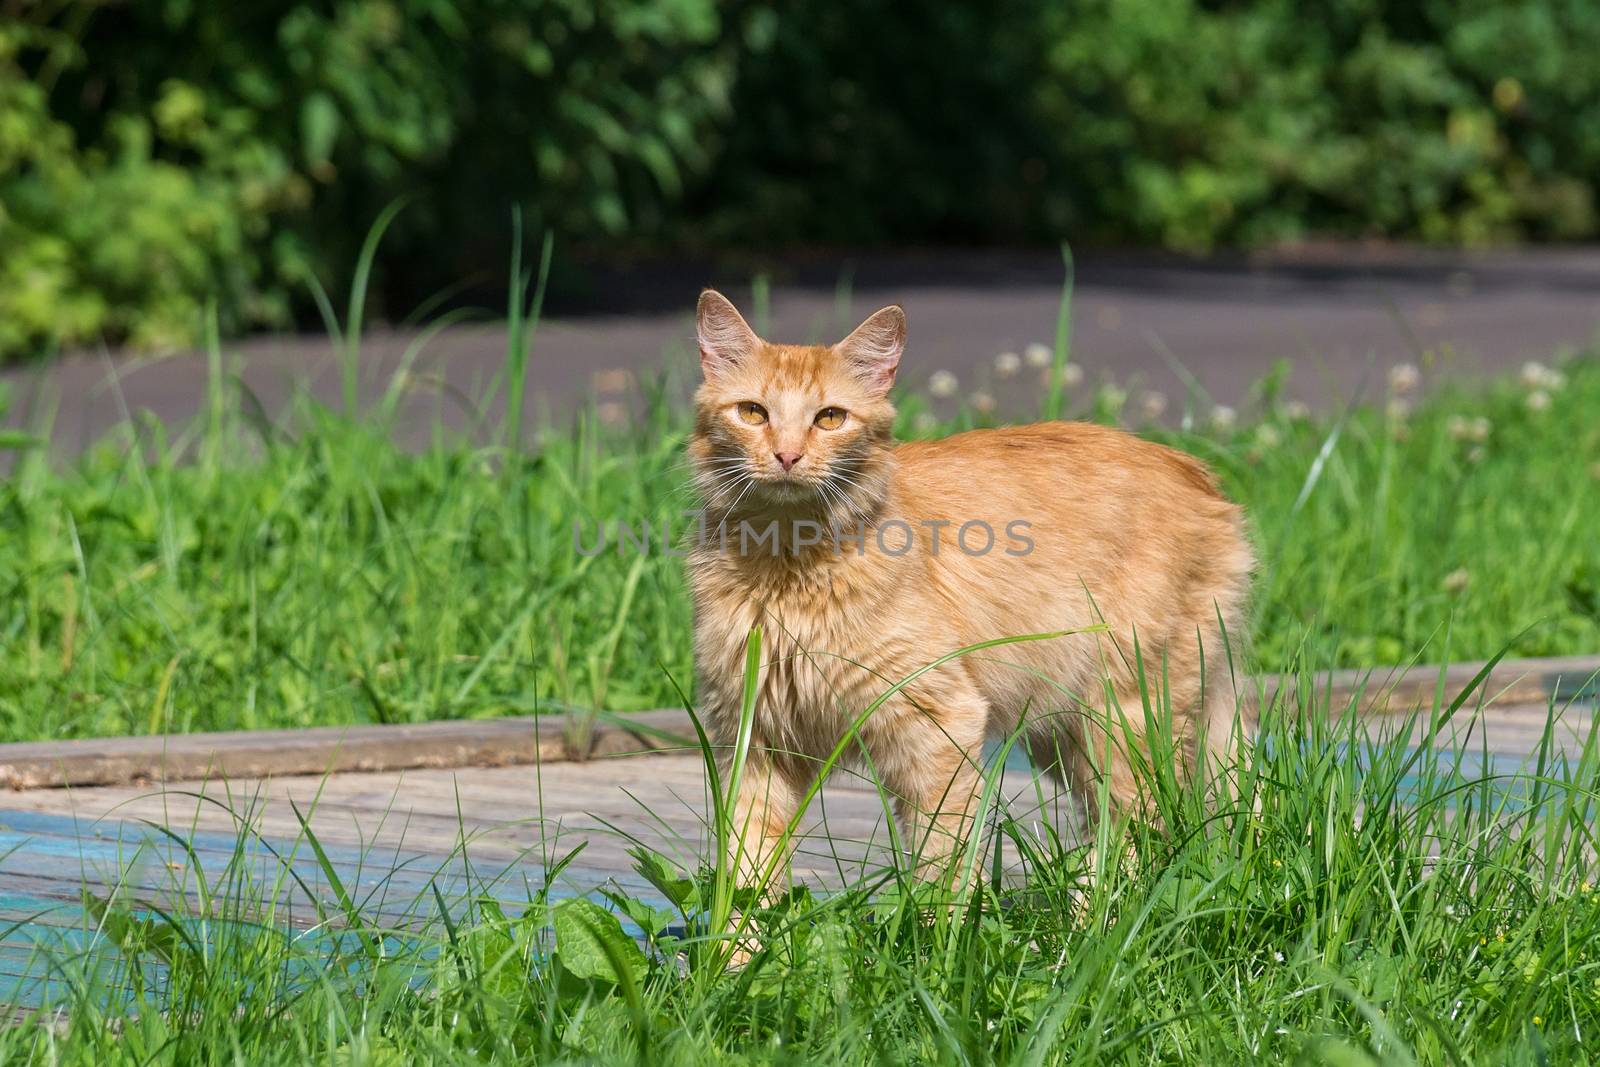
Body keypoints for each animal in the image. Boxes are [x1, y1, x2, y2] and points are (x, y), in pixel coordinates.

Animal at [688, 289, 1248, 883]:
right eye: (753, 412)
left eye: (830, 418)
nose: (788, 456)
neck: (787, 564)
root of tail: (1197, 473)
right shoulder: (751, 739)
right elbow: (747, 867)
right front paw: (742, 914)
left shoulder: (939, 721)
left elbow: (943, 862)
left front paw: (937, 911)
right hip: (1065, 731)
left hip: (1125, 715)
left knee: (1146, 833)